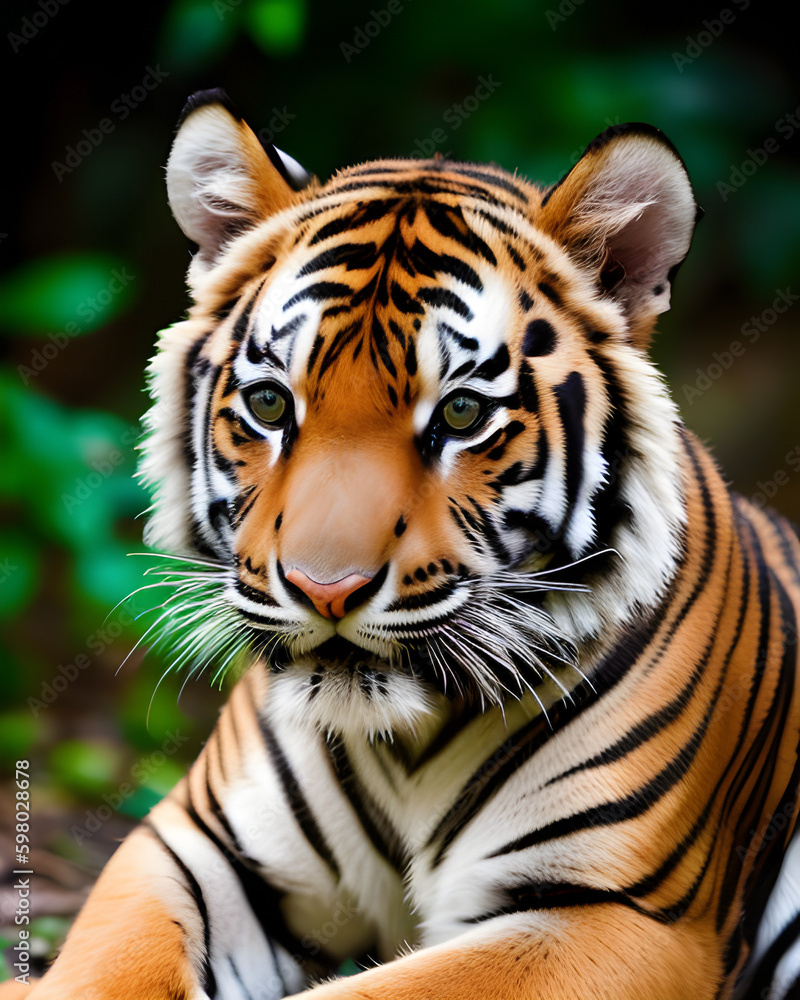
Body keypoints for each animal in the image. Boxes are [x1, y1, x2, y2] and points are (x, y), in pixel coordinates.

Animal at [6, 88, 800, 1000]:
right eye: (271, 404)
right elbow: (106, 969)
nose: (325, 590)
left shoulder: (620, 916)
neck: (404, 744)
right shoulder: (196, 846)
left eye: (460, 413)